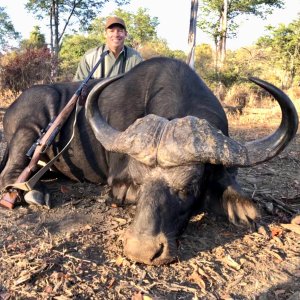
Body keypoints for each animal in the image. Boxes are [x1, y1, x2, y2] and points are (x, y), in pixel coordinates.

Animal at [0, 57, 298, 264]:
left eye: (189, 187)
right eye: (138, 183)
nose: (142, 251)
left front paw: (240, 205)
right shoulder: (118, 185)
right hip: (29, 126)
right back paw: (34, 193)